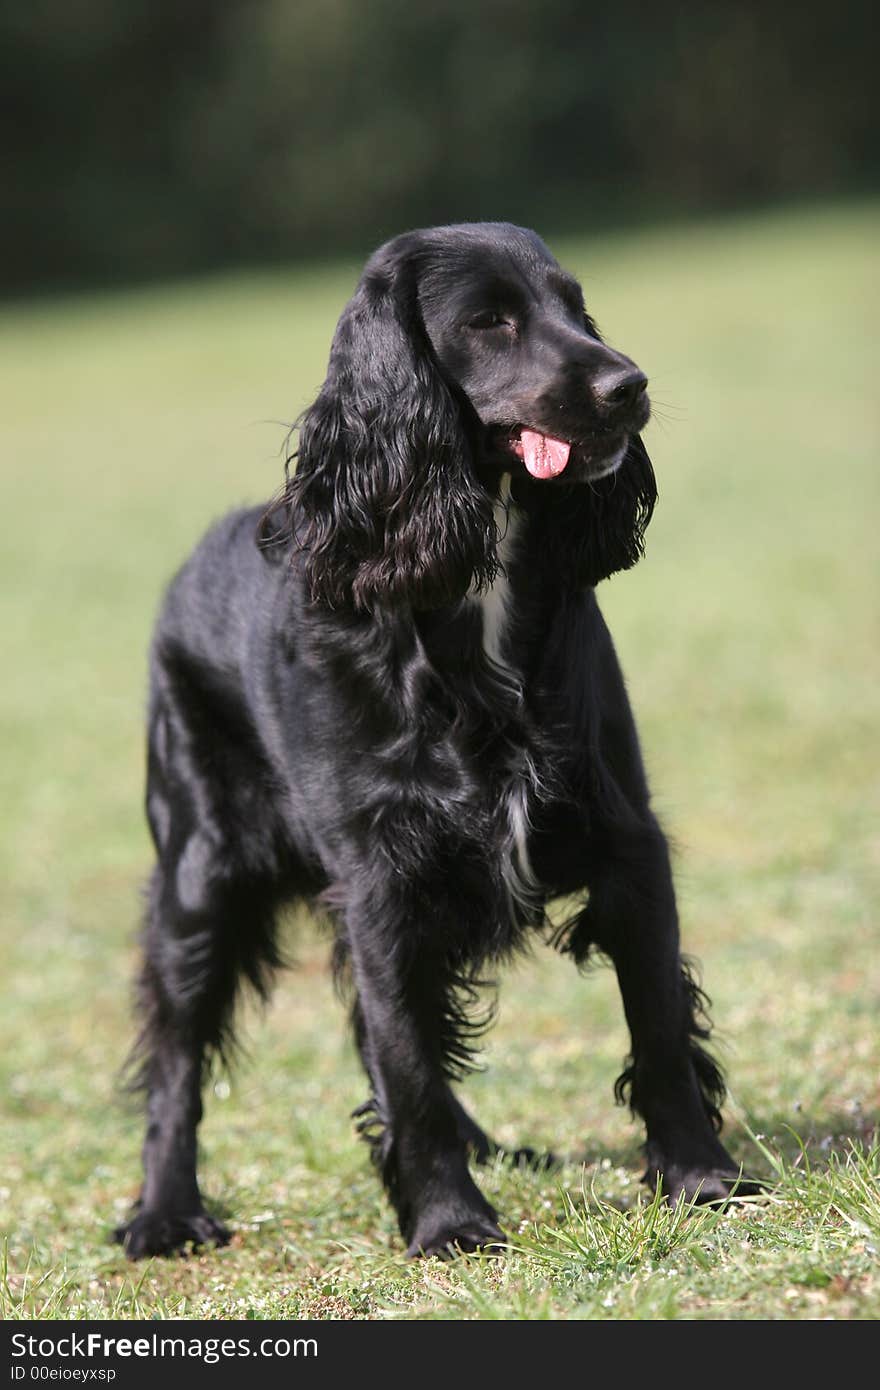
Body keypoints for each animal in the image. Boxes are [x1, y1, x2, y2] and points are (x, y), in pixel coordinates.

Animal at [114, 216, 750, 1262]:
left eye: (574, 305)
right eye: (489, 321)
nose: (629, 384)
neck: (472, 583)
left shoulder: (623, 836)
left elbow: (656, 1019)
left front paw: (702, 1178)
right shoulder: (381, 875)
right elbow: (406, 1059)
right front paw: (450, 1223)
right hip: (199, 874)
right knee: (177, 1061)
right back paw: (165, 1212)